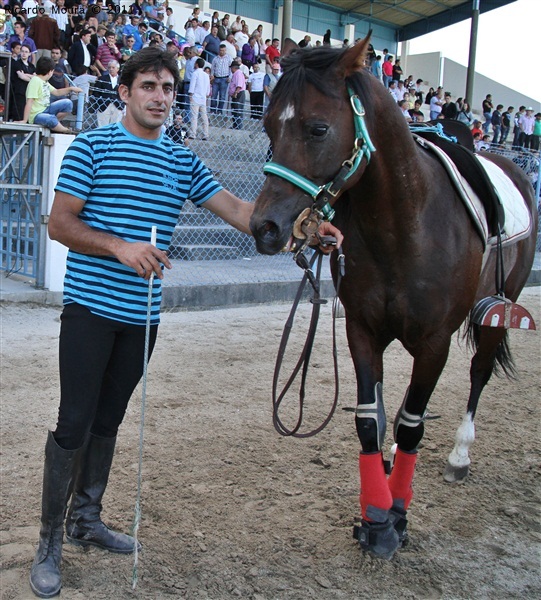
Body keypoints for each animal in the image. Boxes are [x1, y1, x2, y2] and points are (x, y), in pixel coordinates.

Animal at [249, 37, 536, 560]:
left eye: (318, 128)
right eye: (268, 124)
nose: (265, 227)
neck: (405, 223)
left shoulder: (434, 343)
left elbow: (411, 424)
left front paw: (396, 517)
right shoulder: (362, 331)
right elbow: (370, 422)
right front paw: (375, 513)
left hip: (497, 312)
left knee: (478, 374)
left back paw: (460, 453)